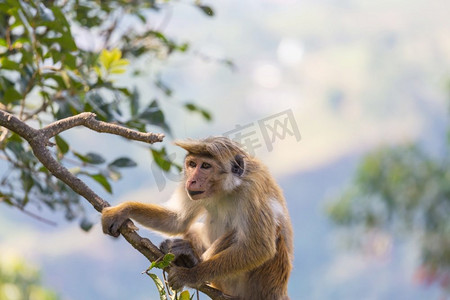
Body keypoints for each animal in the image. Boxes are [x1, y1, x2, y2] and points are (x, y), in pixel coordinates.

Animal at [100, 137, 294, 300]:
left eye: (206, 166)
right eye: (192, 164)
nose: (191, 180)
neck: (227, 189)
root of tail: (279, 291)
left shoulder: (252, 190)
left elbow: (259, 247)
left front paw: (190, 275)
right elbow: (177, 221)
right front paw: (122, 210)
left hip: (258, 281)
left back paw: (191, 259)